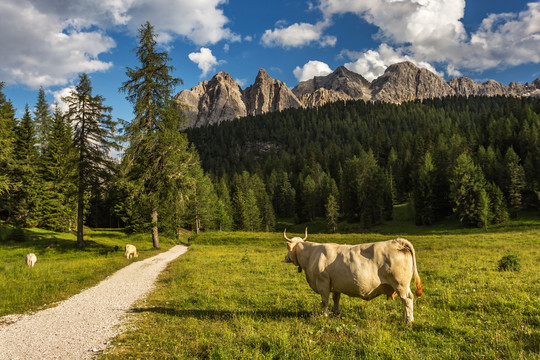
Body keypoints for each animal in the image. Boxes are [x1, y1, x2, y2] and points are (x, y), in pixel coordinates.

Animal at [282, 229, 422, 324]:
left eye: (288, 249)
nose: (285, 258)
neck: (311, 255)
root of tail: (397, 241)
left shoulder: (323, 283)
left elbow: (325, 301)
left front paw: (325, 315)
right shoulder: (335, 284)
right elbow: (336, 299)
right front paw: (336, 314)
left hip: (400, 284)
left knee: (407, 299)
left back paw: (408, 321)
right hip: (401, 286)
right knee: (404, 302)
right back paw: (404, 319)